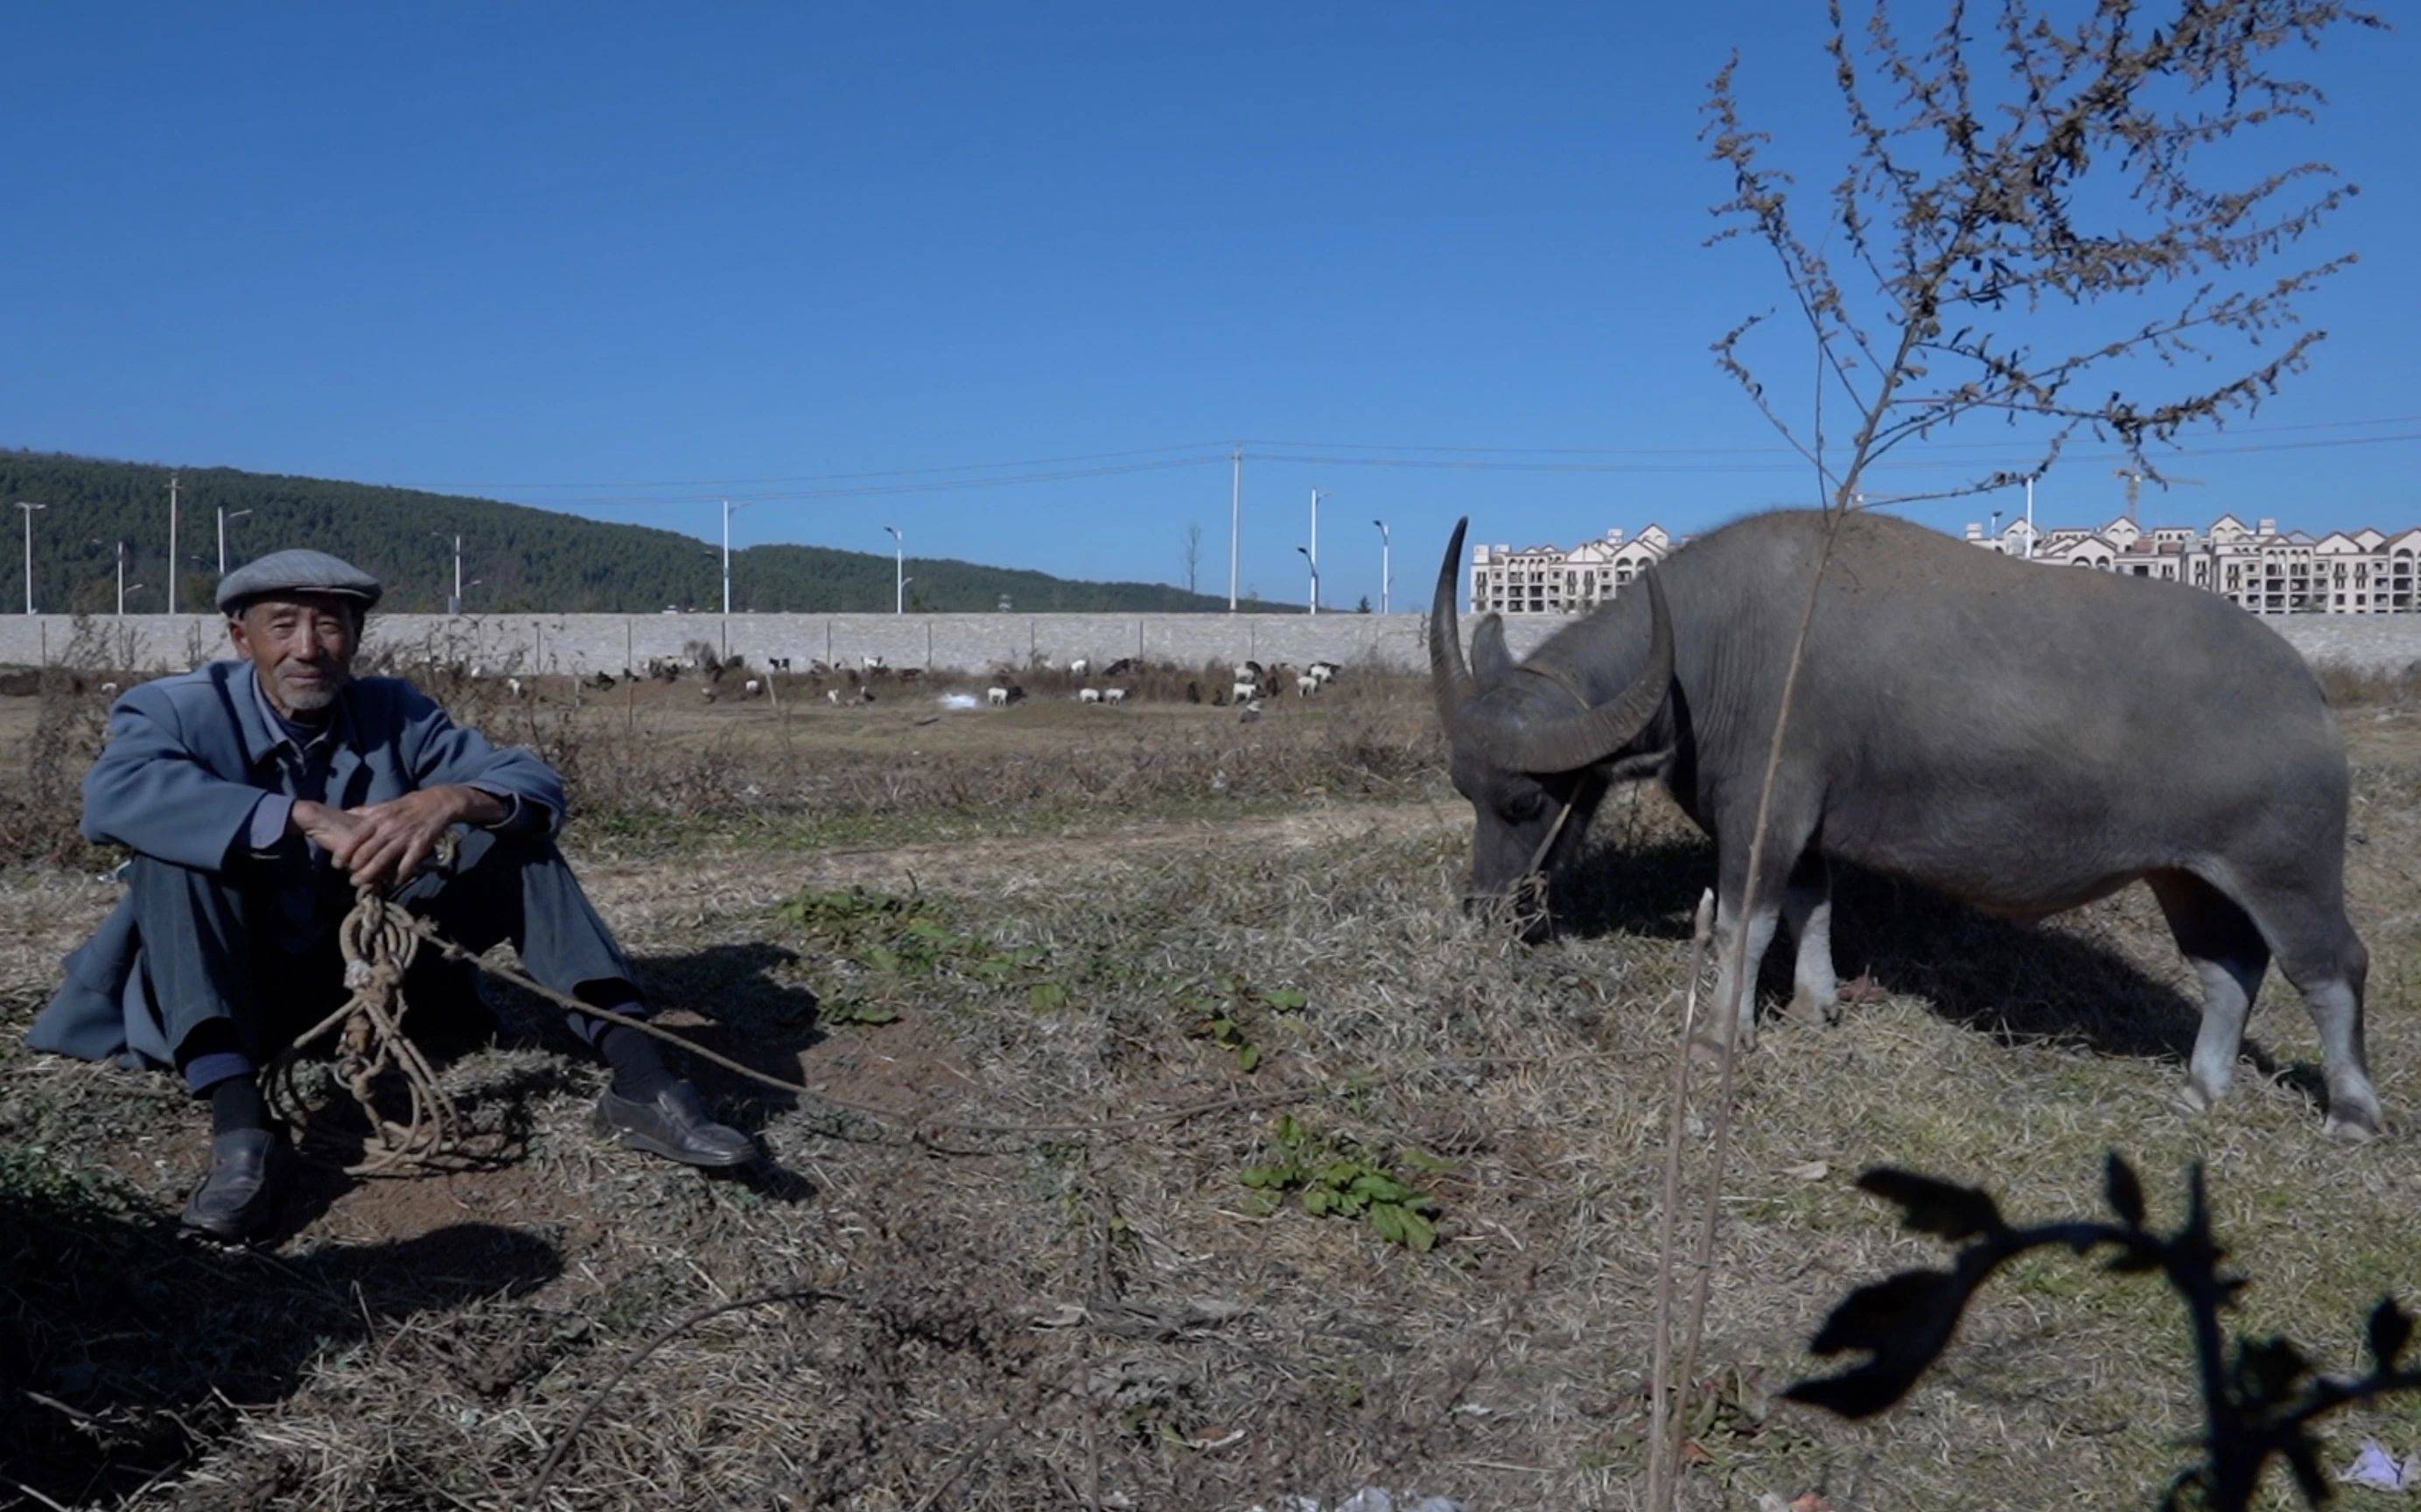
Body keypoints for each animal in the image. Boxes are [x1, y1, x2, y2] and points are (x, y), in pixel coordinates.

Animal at [1433, 508, 2382, 1131]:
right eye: (1463, 790)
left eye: (1525, 802)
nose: (1482, 909)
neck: (1708, 650)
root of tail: (2301, 686)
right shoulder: (1807, 830)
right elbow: (1812, 909)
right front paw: (1815, 1005)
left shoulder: (1762, 815)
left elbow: (1745, 923)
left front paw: (1717, 1036)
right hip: (2185, 876)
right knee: (2229, 968)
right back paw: (2199, 1089)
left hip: (2287, 870)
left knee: (2329, 967)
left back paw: (2351, 1111)